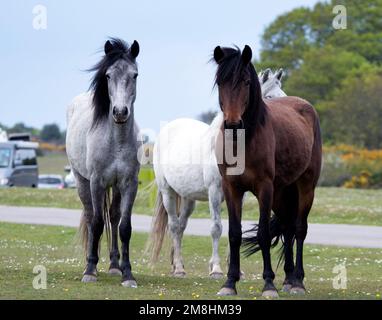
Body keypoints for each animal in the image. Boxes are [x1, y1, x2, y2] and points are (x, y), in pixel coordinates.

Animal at [148, 68, 286, 278]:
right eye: (270, 97)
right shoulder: (214, 192)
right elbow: (216, 228)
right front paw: (216, 269)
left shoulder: (240, 194)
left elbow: (235, 228)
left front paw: (236, 270)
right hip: (167, 192)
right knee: (173, 225)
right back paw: (178, 267)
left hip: (188, 198)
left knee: (180, 227)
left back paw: (177, 264)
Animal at [213, 46, 320, 298]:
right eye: (220, 82)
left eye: (245, 81)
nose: (233, 124)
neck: (243, 141)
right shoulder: (231, 188)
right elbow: (234, 233)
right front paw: (229, 283)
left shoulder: (264, 188)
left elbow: (262, 234)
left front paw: (269, 284)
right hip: (282, 194)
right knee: (288, 229)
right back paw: (289, 279)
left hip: (305, 187)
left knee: (299, 229)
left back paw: (298, 281)